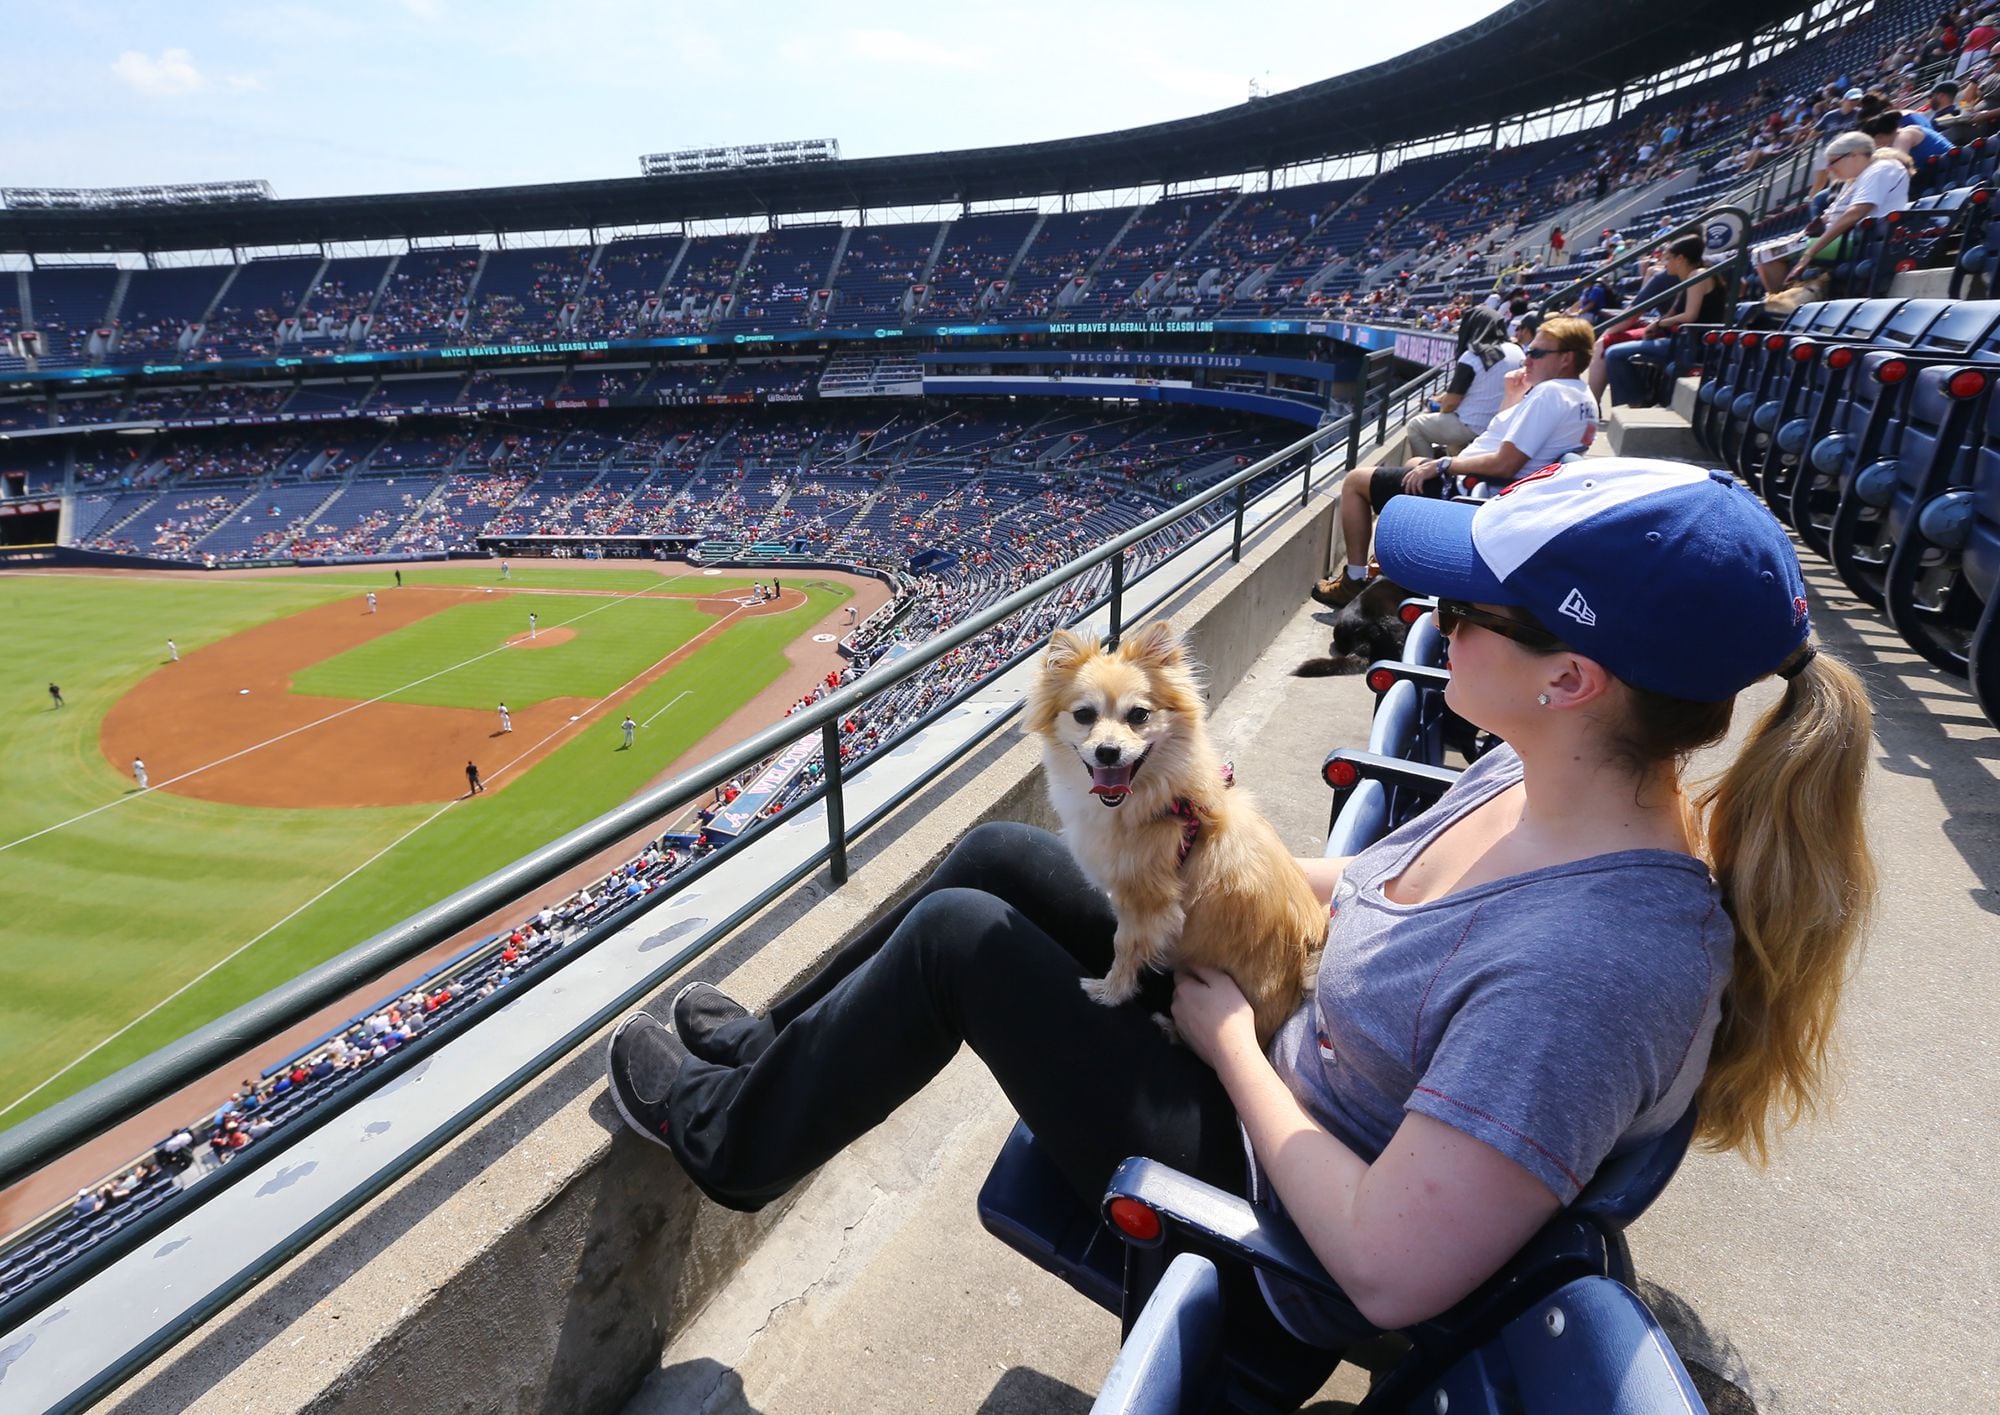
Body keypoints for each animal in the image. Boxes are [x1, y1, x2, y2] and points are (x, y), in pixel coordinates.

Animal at [1032, 623, 1328, 1047]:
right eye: (1084, 715)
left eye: (1139, 715)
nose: (1107, 751)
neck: (1165, 806)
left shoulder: (1146, 904)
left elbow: (1124, 949)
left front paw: (1109, 993)